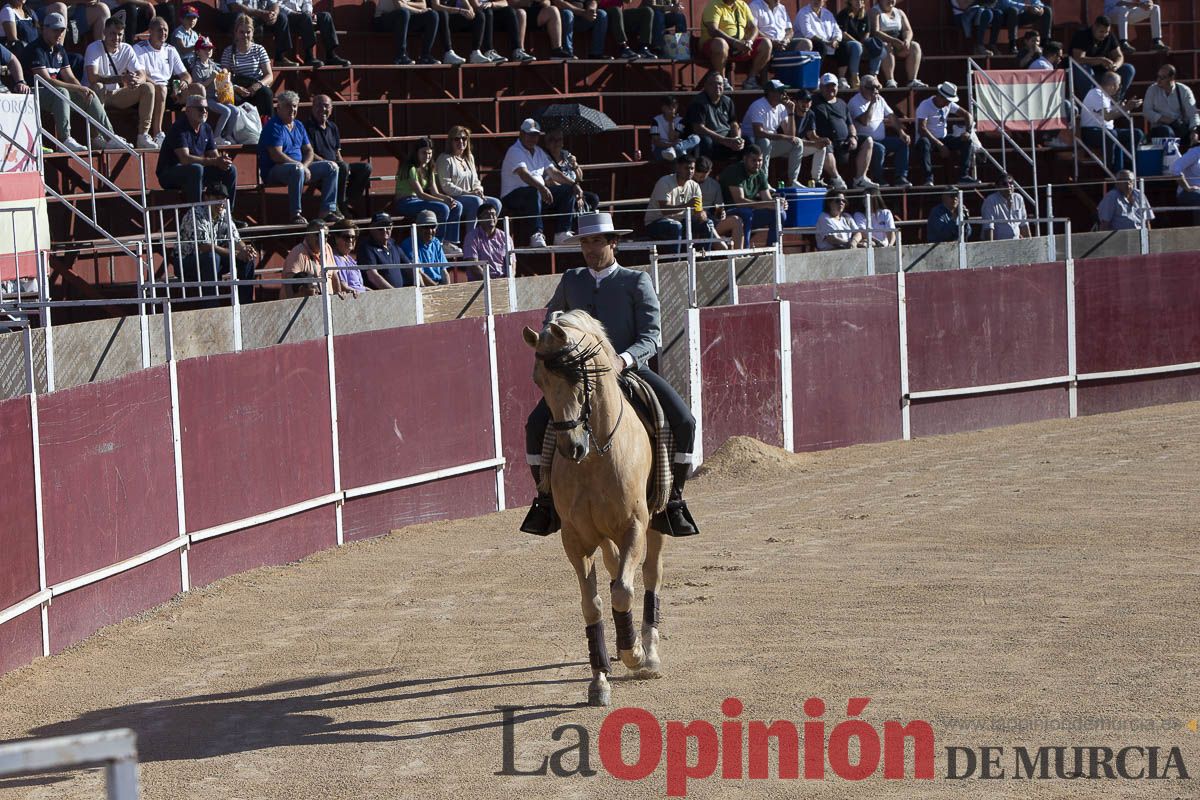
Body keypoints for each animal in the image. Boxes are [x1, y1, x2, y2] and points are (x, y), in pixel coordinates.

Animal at [518, 309, 662, 705]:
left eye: (577, 375)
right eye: (538, 380)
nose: (572, 448)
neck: (598, 456)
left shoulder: (635, 526)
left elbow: (625, 590)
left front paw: (634, 653)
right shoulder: (575, 538)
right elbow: (593, 603)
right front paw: (599, 680)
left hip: (657, 523)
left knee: (650, 575)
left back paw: (649, 651)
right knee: (615, 569)